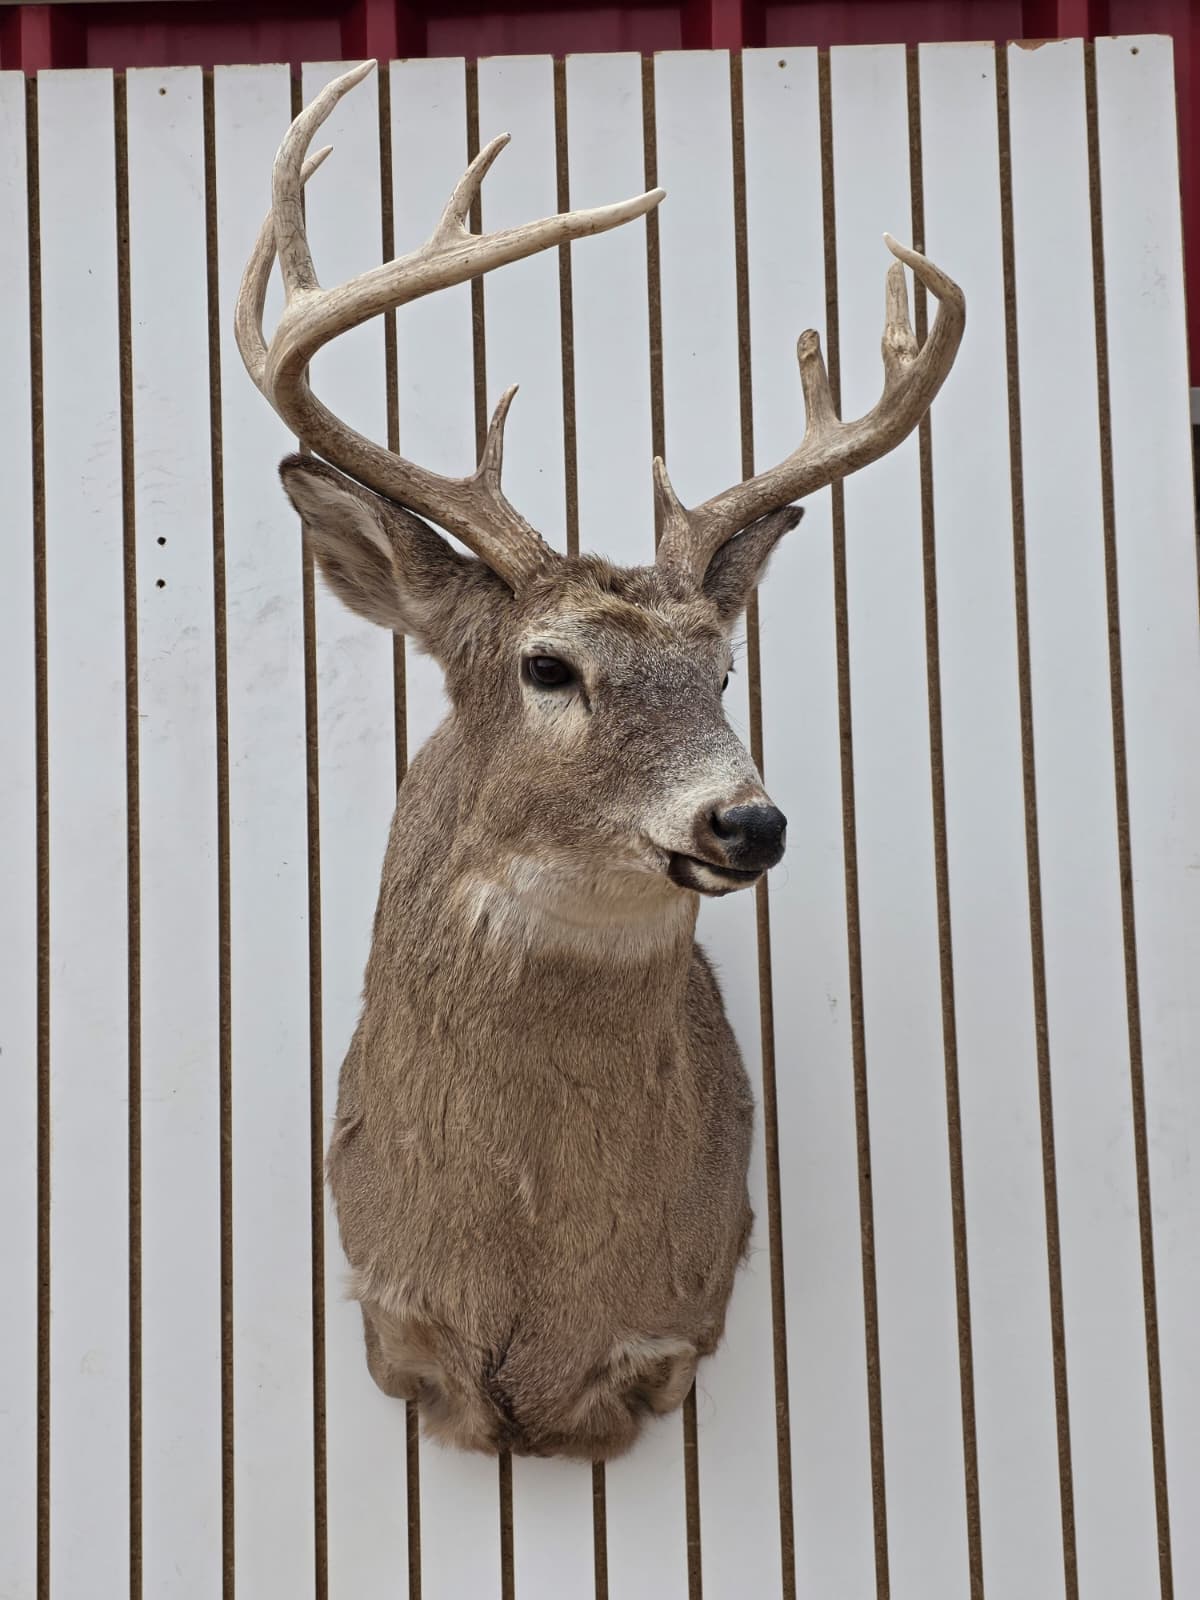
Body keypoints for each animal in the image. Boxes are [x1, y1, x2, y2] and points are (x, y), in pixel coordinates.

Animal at [235, 60, 964, 1461]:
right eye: (547, 666)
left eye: (722, 671)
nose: (748, 822)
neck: (524, 1287)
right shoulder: (399, 1328)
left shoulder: (664, 1342)